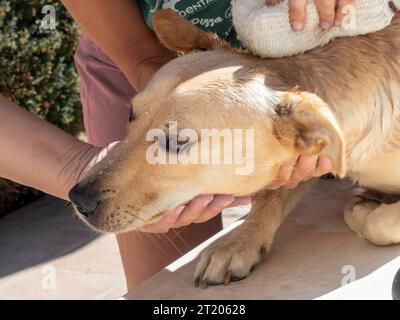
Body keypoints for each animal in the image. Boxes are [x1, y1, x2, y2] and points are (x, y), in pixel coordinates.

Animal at [69, 8, 400, 288]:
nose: (78, 199)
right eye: (130, 114)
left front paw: (362, 209)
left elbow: (381, 223)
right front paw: (237, 243)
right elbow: (272, 194)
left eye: (177, 141)